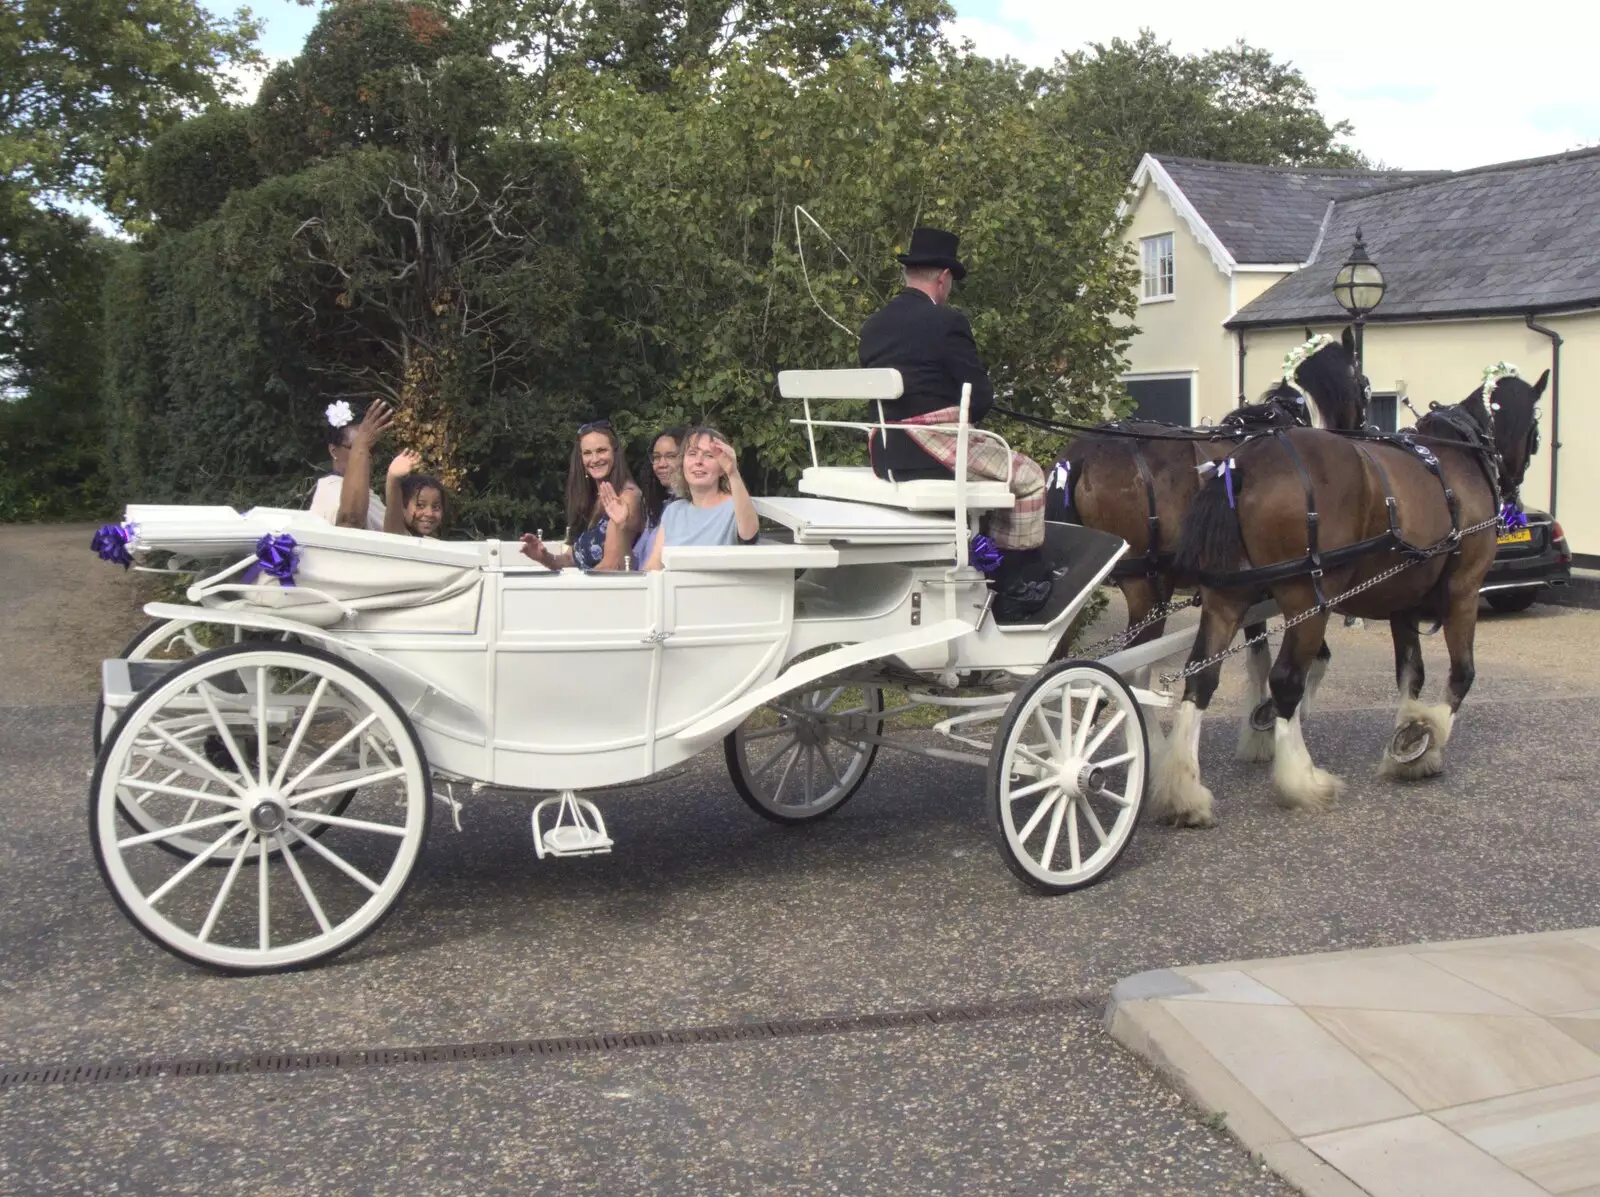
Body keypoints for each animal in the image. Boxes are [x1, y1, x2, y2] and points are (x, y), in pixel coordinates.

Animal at [1056, 328, 1369, 758]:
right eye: (1365, 385)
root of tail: (1083, 454)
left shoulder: (1249, 590)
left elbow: (1257, 659)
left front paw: (1259, 732)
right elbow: (1312, 659)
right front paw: (1274, 720)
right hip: (1149, 594)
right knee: (1124, 674)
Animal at [1158, 369, 1542, 825]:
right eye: (1537, 433)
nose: (1515, 492)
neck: (1455, 459)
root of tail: (1242, 465)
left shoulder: (1402, 604)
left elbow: (1411, 675)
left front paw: (1406, 744)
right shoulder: (1464, 592)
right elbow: (1461, 675)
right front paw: (1422, 738)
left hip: (1226, 597)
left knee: (1201, 675)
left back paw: (1185, 793)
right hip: (1307, 602)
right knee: (1286, 680)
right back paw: (1301, 780)